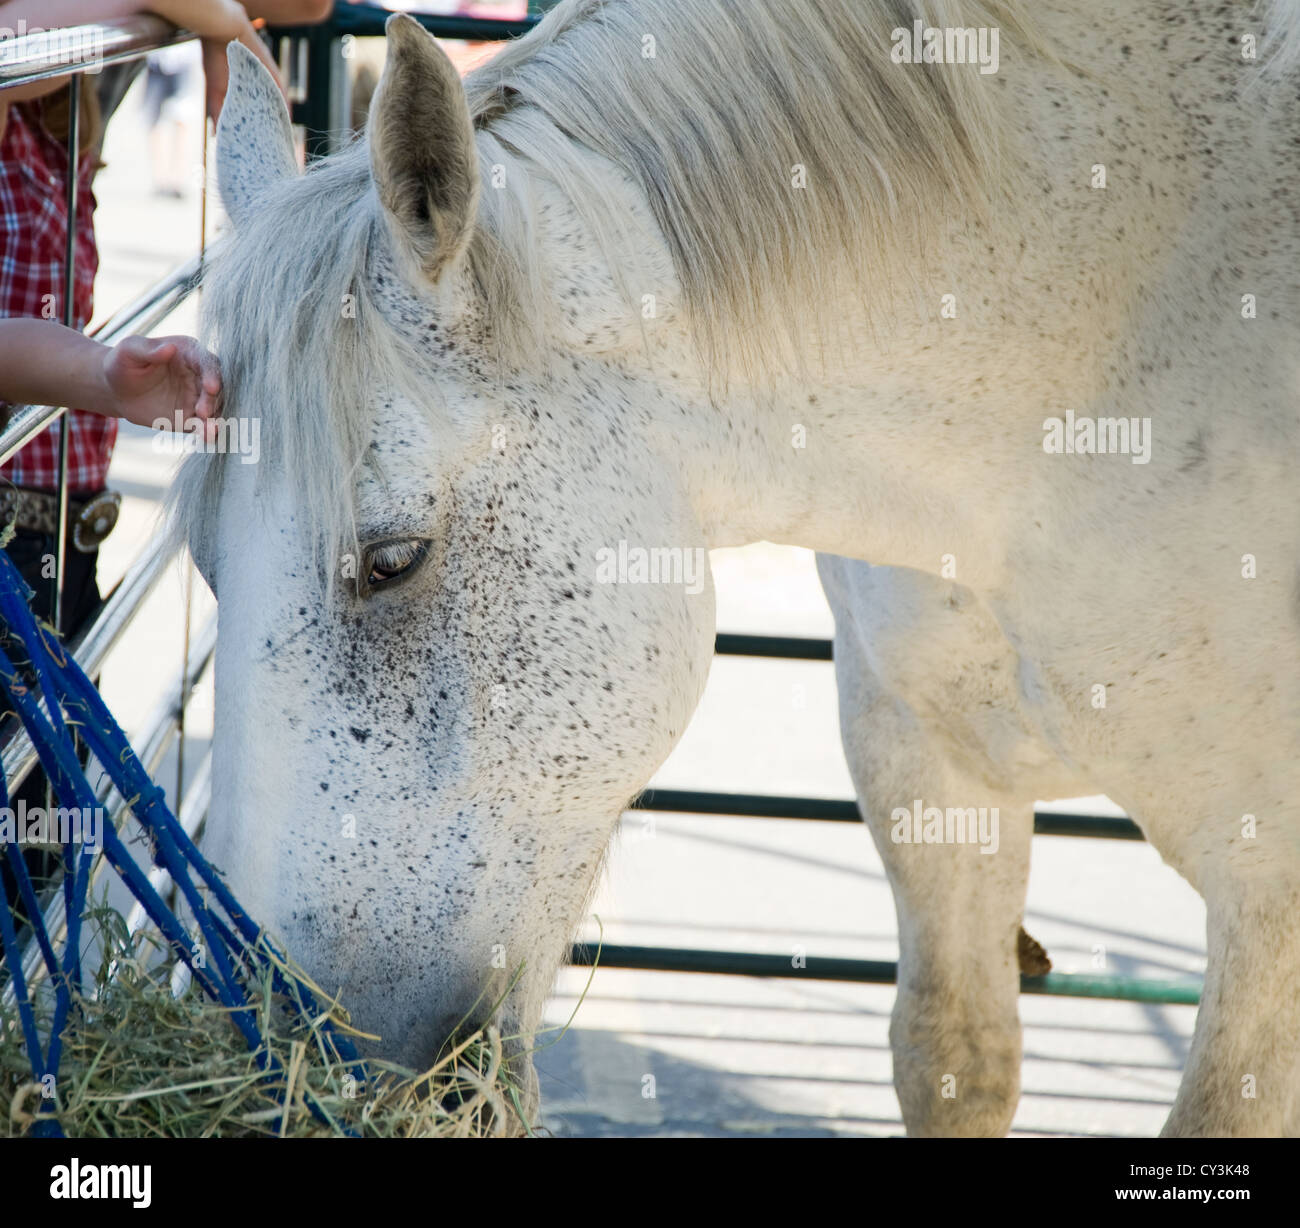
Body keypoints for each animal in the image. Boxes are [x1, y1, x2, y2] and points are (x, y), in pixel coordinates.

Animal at [180, 0, 1300, 1133]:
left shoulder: (1268, 881)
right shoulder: (921, 755)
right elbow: (955, 1055)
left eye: (393, 560)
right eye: (203, 560)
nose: (280, 1037)